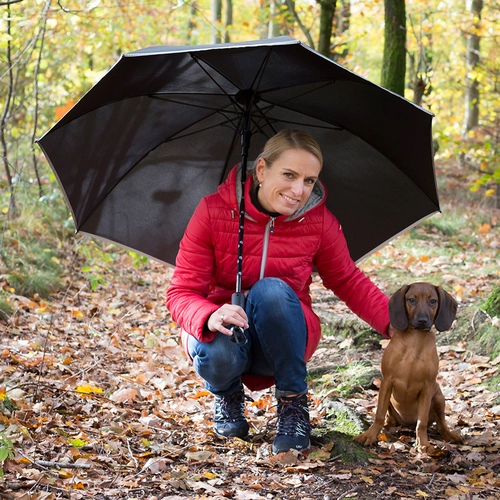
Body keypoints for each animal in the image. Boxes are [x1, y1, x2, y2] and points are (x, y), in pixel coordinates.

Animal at [354, 282, 462, 454]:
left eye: (433, 301)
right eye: (411, 300)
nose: (423, 320)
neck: (414, 339)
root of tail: (406, 425)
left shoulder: (427, 387)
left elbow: (422, 422)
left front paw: (423, 444)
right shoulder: (387, 381)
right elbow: (379, 415)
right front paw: (369, 435)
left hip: (439, 396)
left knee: (441, 423)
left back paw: (450, 435)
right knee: (388, 419)